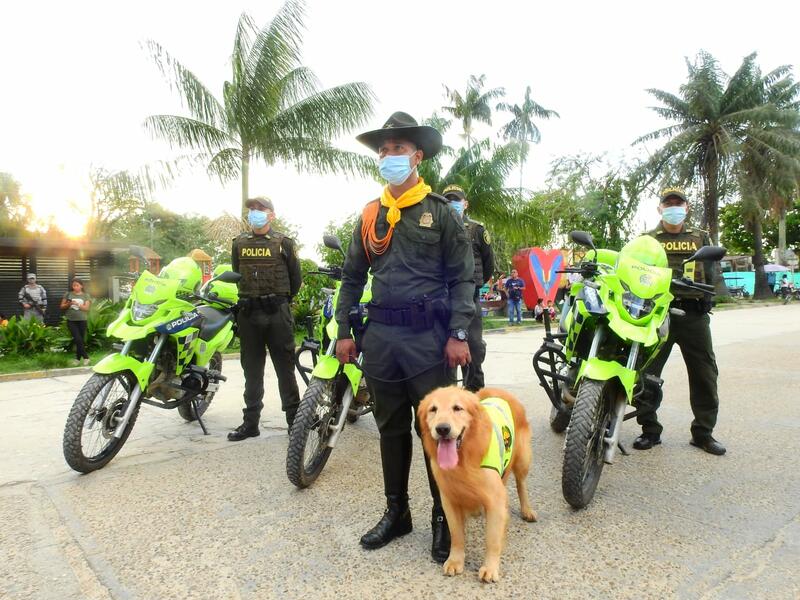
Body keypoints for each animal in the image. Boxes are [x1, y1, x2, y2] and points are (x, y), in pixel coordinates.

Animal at [416, 386, 536, 584]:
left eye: (457, 408)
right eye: (433, 409)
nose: (442, 429)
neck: (463, 460)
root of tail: (499, 391)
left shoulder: (494, 500)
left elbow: (492, 539)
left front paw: (490, 567)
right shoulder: (449, 500)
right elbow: (457, 535)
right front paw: (455, 560)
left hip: (522, 459)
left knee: (521, 483)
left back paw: (527, 510)